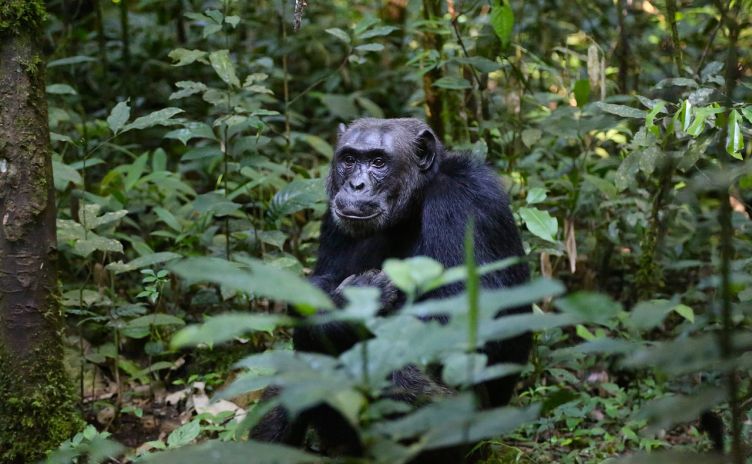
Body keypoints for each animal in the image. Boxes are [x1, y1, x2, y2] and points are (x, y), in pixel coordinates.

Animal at [253, 118, 528, 460]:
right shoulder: (333, 218)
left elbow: (471, 317)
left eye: (378, 162)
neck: (413, 204)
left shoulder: (465, 203)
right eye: (349, 159)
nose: (356, 185)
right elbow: (319, 285)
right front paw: (342, 307)